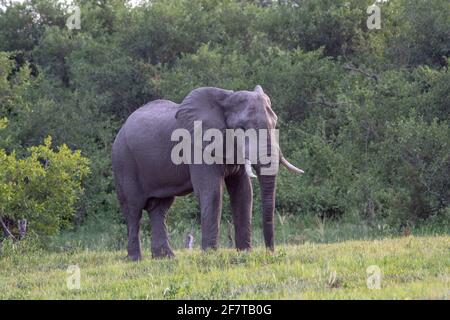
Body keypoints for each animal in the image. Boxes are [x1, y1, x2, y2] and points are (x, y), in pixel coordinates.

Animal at [112, 85, 302, 260]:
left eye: (274, 124)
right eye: (241, 128)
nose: (270, 252)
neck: (226, 98)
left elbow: (243, 192)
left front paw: (245, 253)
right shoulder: (196, 146)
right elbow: (212, 192)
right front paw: (210, 255)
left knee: (159, 208)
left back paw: (165, 258)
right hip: (124, 162)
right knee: (133, 209)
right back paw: (136, 259)